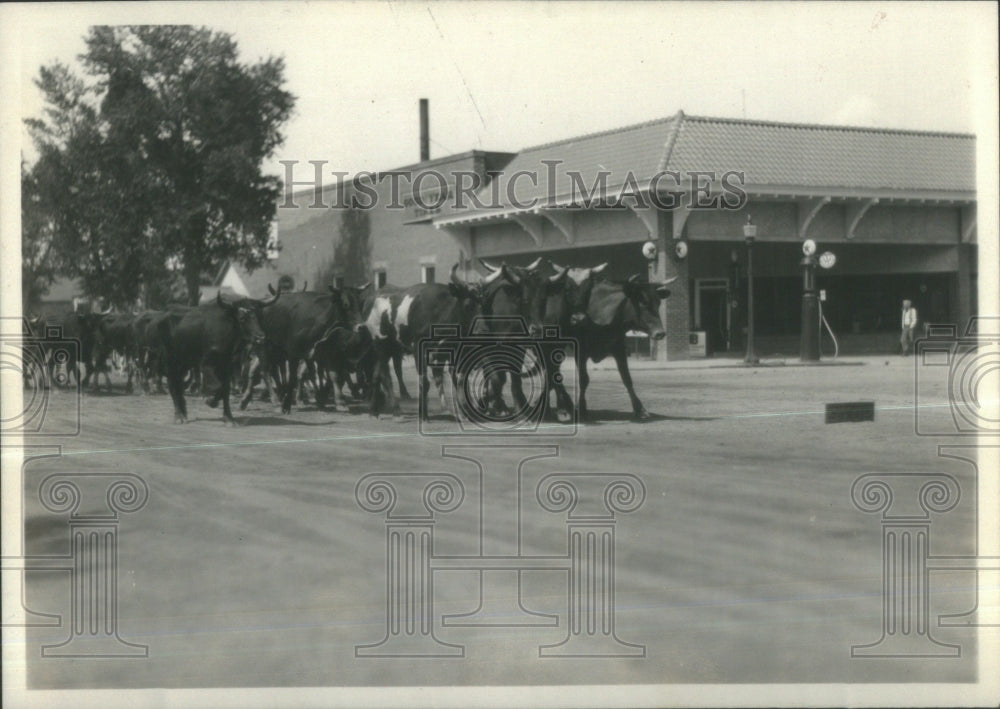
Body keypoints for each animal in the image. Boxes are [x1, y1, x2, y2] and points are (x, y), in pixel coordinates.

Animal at [162, 290, 278, 424]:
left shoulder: (228, 367)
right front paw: (210, 400)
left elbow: (225, 390)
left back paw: (184, 411)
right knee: (172, 384)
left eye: (261, 316)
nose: (261, 337)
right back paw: (179, 416)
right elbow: (218, 386)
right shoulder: (206, 365)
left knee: (179, 384)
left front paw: (229, 418)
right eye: (242, 318)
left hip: (185, 362)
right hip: (171, 360)